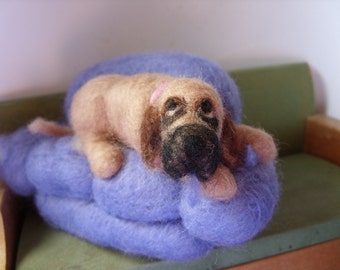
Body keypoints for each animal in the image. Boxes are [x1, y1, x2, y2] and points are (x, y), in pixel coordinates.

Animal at [30, 71, 278, 200]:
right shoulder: (161, 159)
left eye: (207, 107)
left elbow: (243, 133)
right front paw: (222, 179)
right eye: (171, 106)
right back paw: (106, 155)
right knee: (94, 146)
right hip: (92, 122)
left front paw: (261, 141)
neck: (158, 93)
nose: (194, 144)